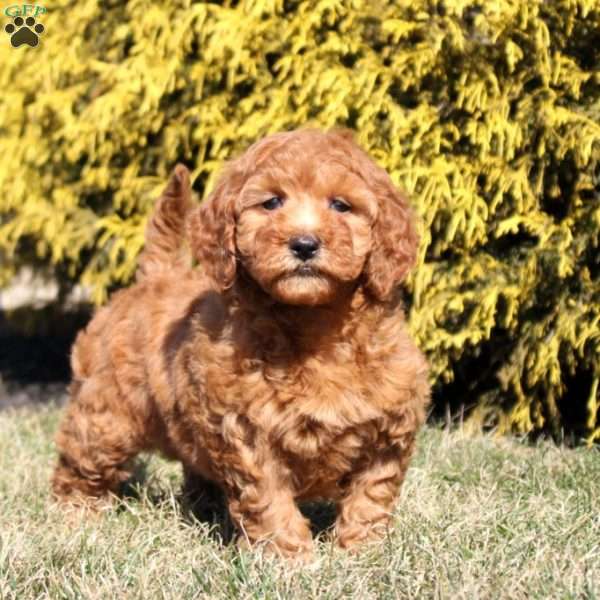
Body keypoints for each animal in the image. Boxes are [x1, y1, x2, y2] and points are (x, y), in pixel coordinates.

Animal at [50, 129, 426, 560]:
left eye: (341, 205)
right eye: (272, 202)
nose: (304, 243)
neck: (314, 322)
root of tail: (157, 275)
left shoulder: (390, 430)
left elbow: (372, 495)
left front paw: (363, 552)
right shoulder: (248, 431)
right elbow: (269, 499)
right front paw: (288, 558)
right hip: (107, 412)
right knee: (82, 460)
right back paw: (77, 515)